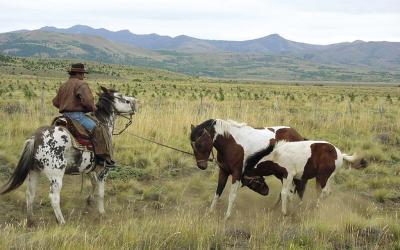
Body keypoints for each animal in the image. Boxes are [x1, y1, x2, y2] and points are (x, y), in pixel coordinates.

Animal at [0, 86, 137, 225]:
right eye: (121, 96)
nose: (135, 102)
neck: (103, 123)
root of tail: (35, 138)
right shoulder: (103, 170)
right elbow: (101, 192)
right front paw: (101, 212)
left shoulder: (89, 168)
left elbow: (93, 182)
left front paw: (89, 201)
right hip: (56, 175)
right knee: (54, 197)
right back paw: (61, 221)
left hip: (34, 170)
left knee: (30, 193)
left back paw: (31, 220)